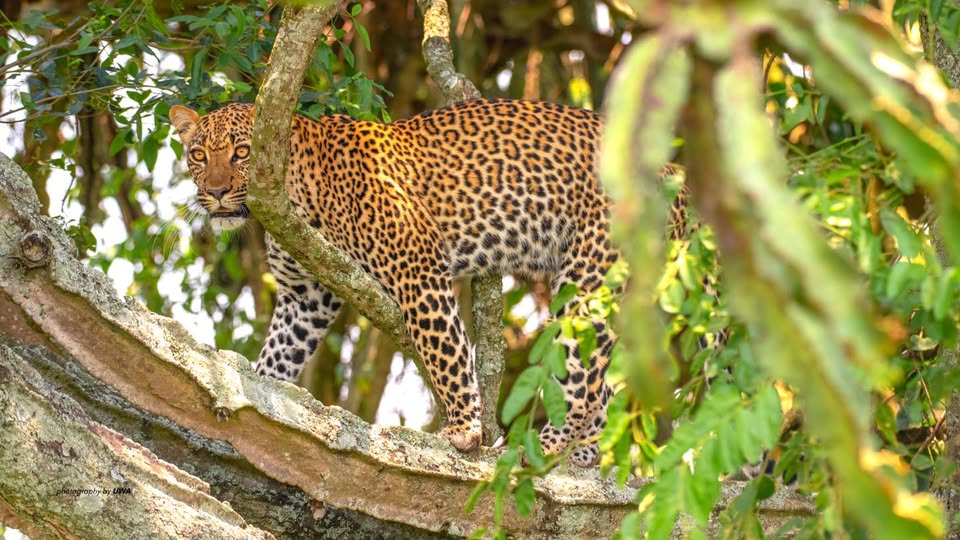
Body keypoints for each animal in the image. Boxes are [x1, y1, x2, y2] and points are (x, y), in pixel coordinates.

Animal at [168, 98, 622, 465]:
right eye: (198, 154)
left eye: (242, 151)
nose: (217, 191)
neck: (294, 193)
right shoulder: (305, 296)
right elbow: (279, 354)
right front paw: (260, 396)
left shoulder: (417, 268)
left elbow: (446, 351)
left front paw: (464, 428)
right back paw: (583, 452)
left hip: (588, 275)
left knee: (582, 373)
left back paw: (550, 444)